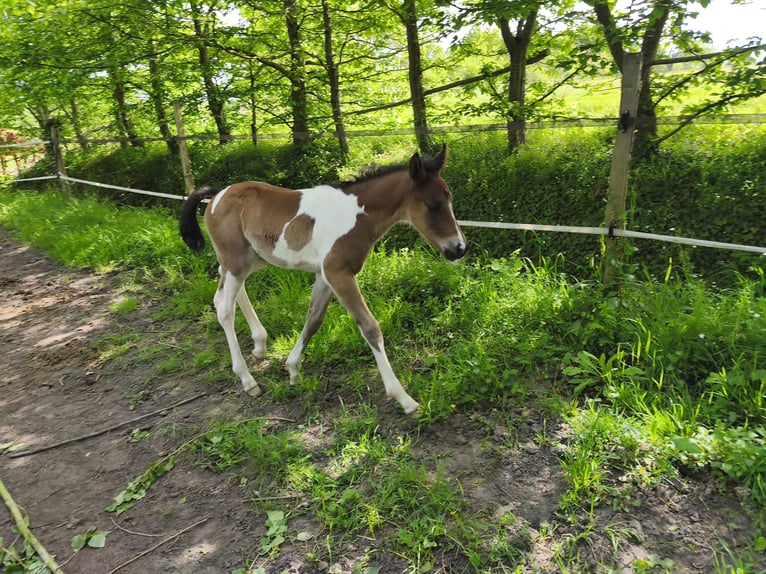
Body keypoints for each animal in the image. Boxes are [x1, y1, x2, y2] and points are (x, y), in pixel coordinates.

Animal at [178, 145, 466, 414]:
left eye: (450, 199)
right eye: (432, 205)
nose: (459, 248)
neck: (354, 216)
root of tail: (217, 195)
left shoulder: (324, 275)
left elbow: (314, 318)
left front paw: (292, 369)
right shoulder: (338, 273)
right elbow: (370, 327)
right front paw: (403, 398)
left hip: (250, 258)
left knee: (230, 285)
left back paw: (259, 345)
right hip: (236, 259)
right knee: (223, 306)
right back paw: (247, 380)